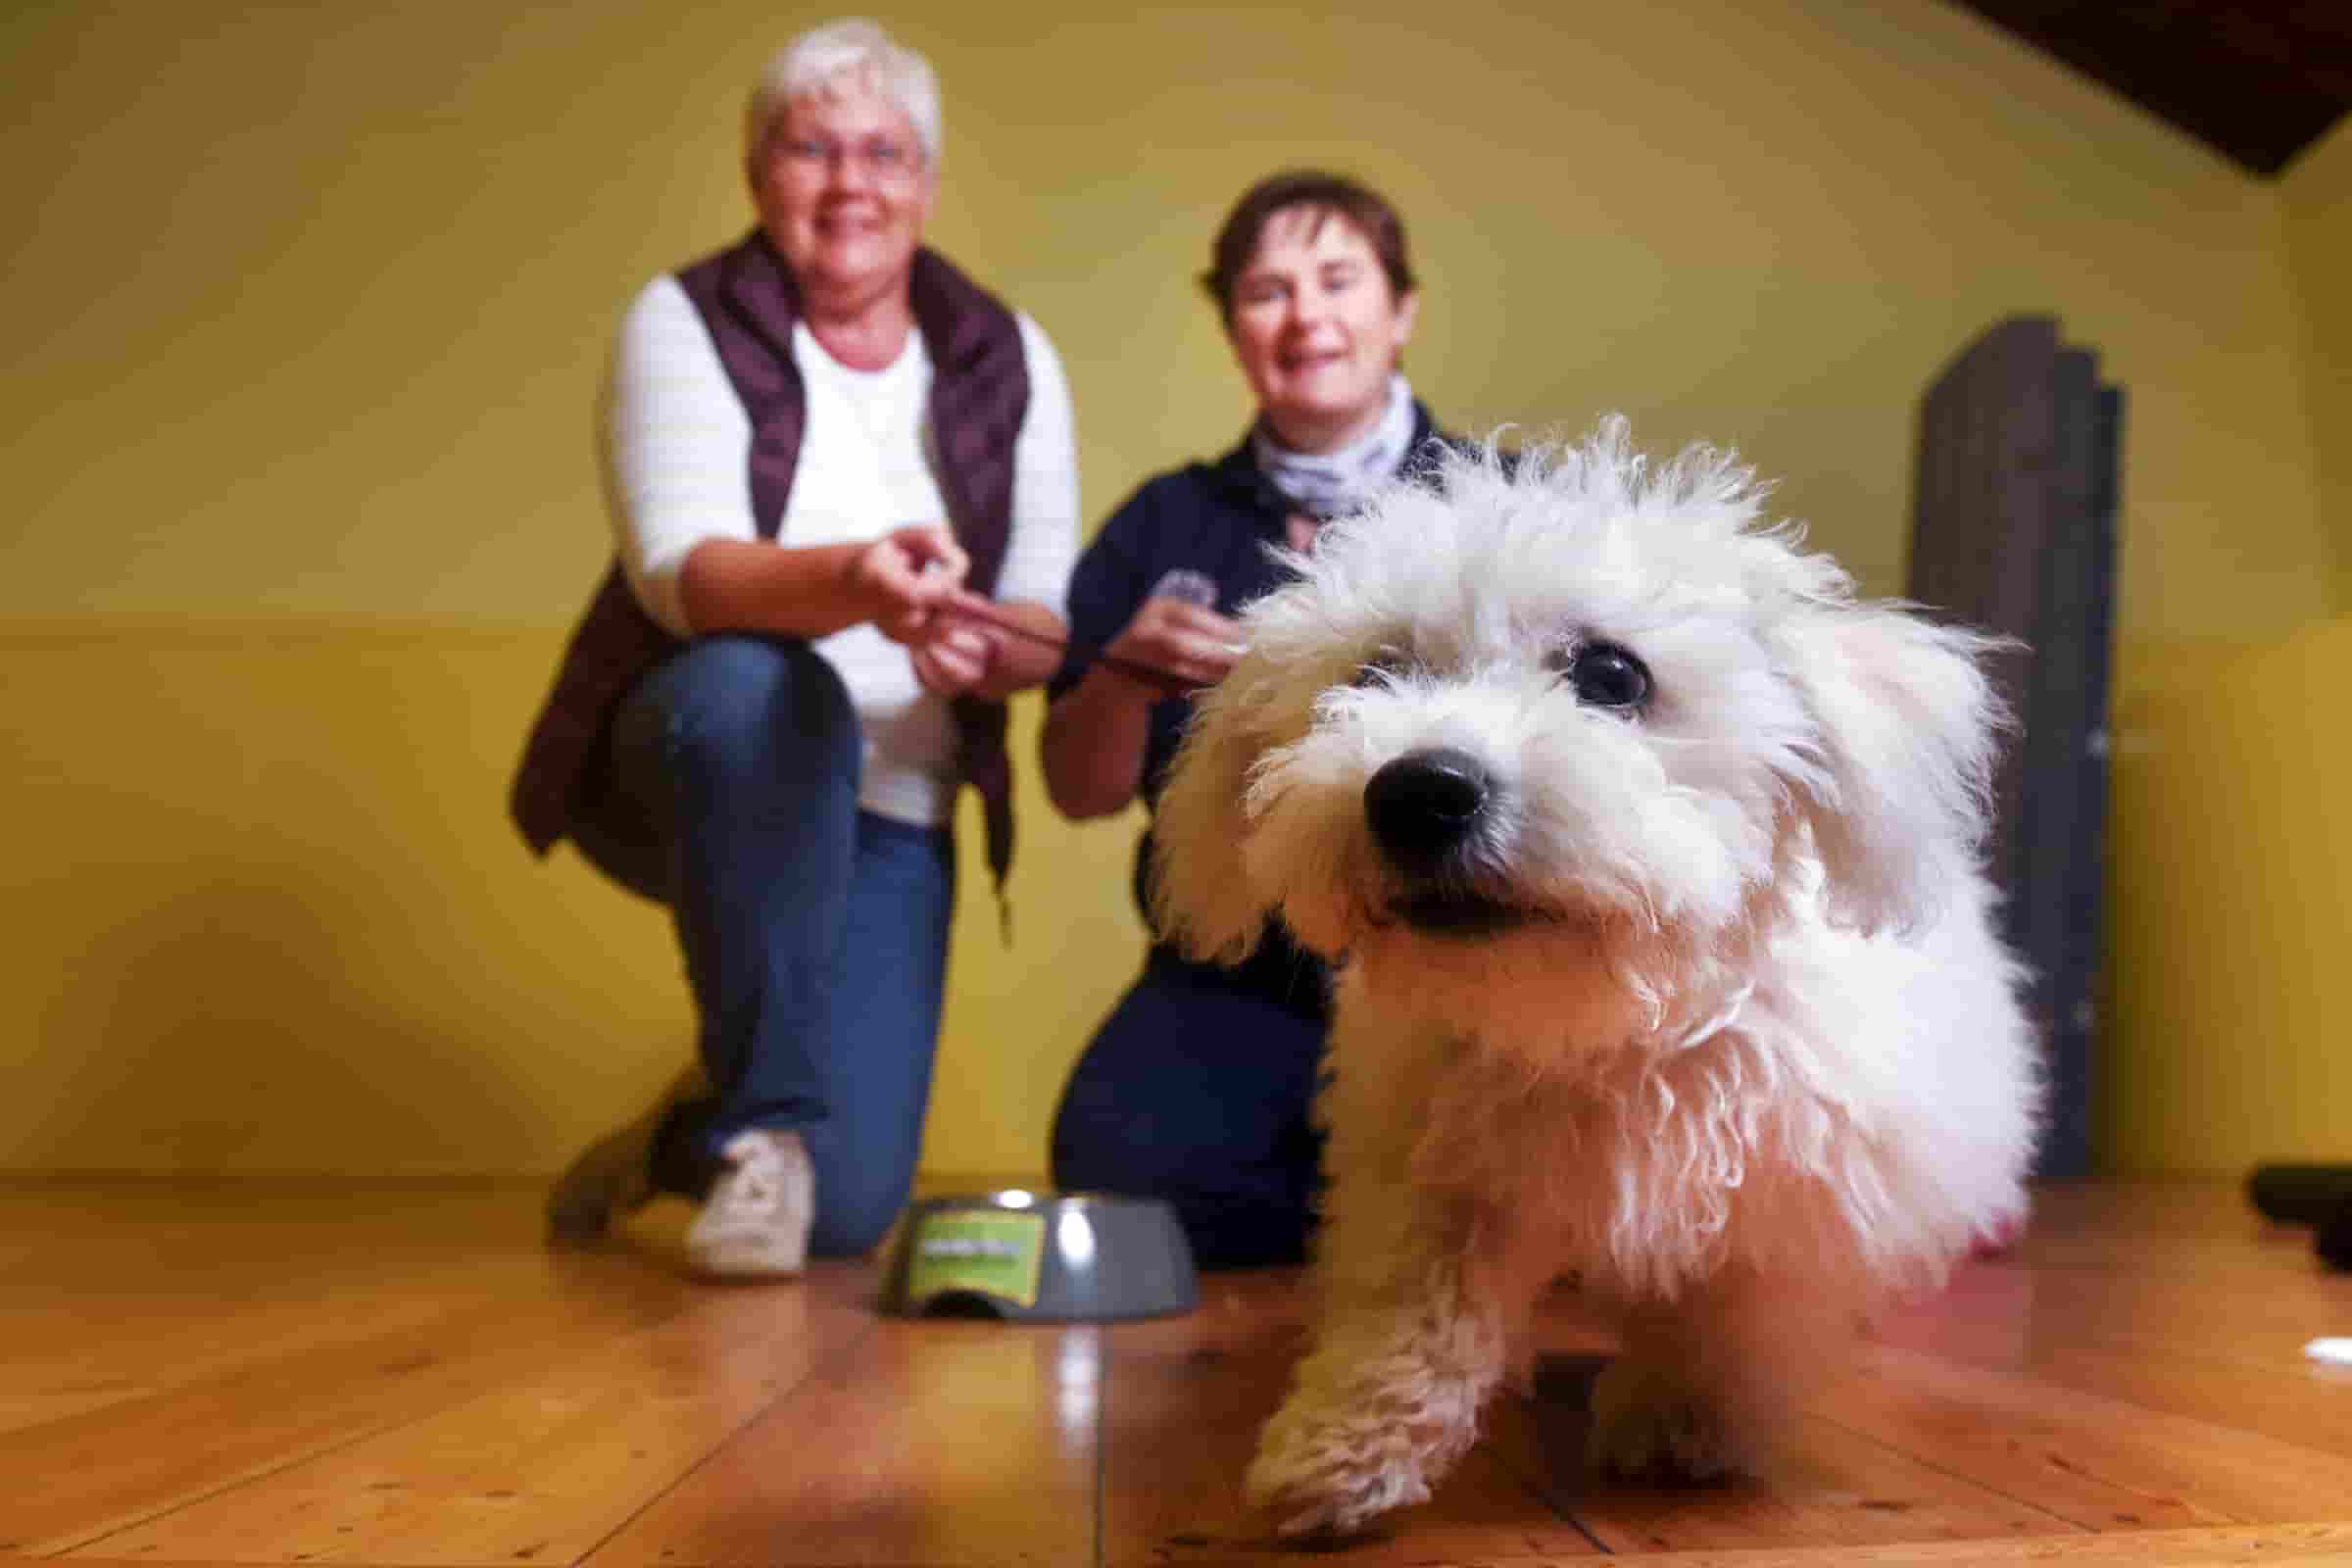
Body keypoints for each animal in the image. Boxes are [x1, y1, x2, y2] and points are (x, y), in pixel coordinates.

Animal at [1156, 416, 2041, 1533]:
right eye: (1373, 674)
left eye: (1614, 677)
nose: (1419, 790)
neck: (1600, 1019)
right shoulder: (1433, 1165)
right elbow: (1413, 1313)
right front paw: (1344, 1449)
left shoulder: (1793, 1182)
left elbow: (1733, 1310)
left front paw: (1683, 1416)